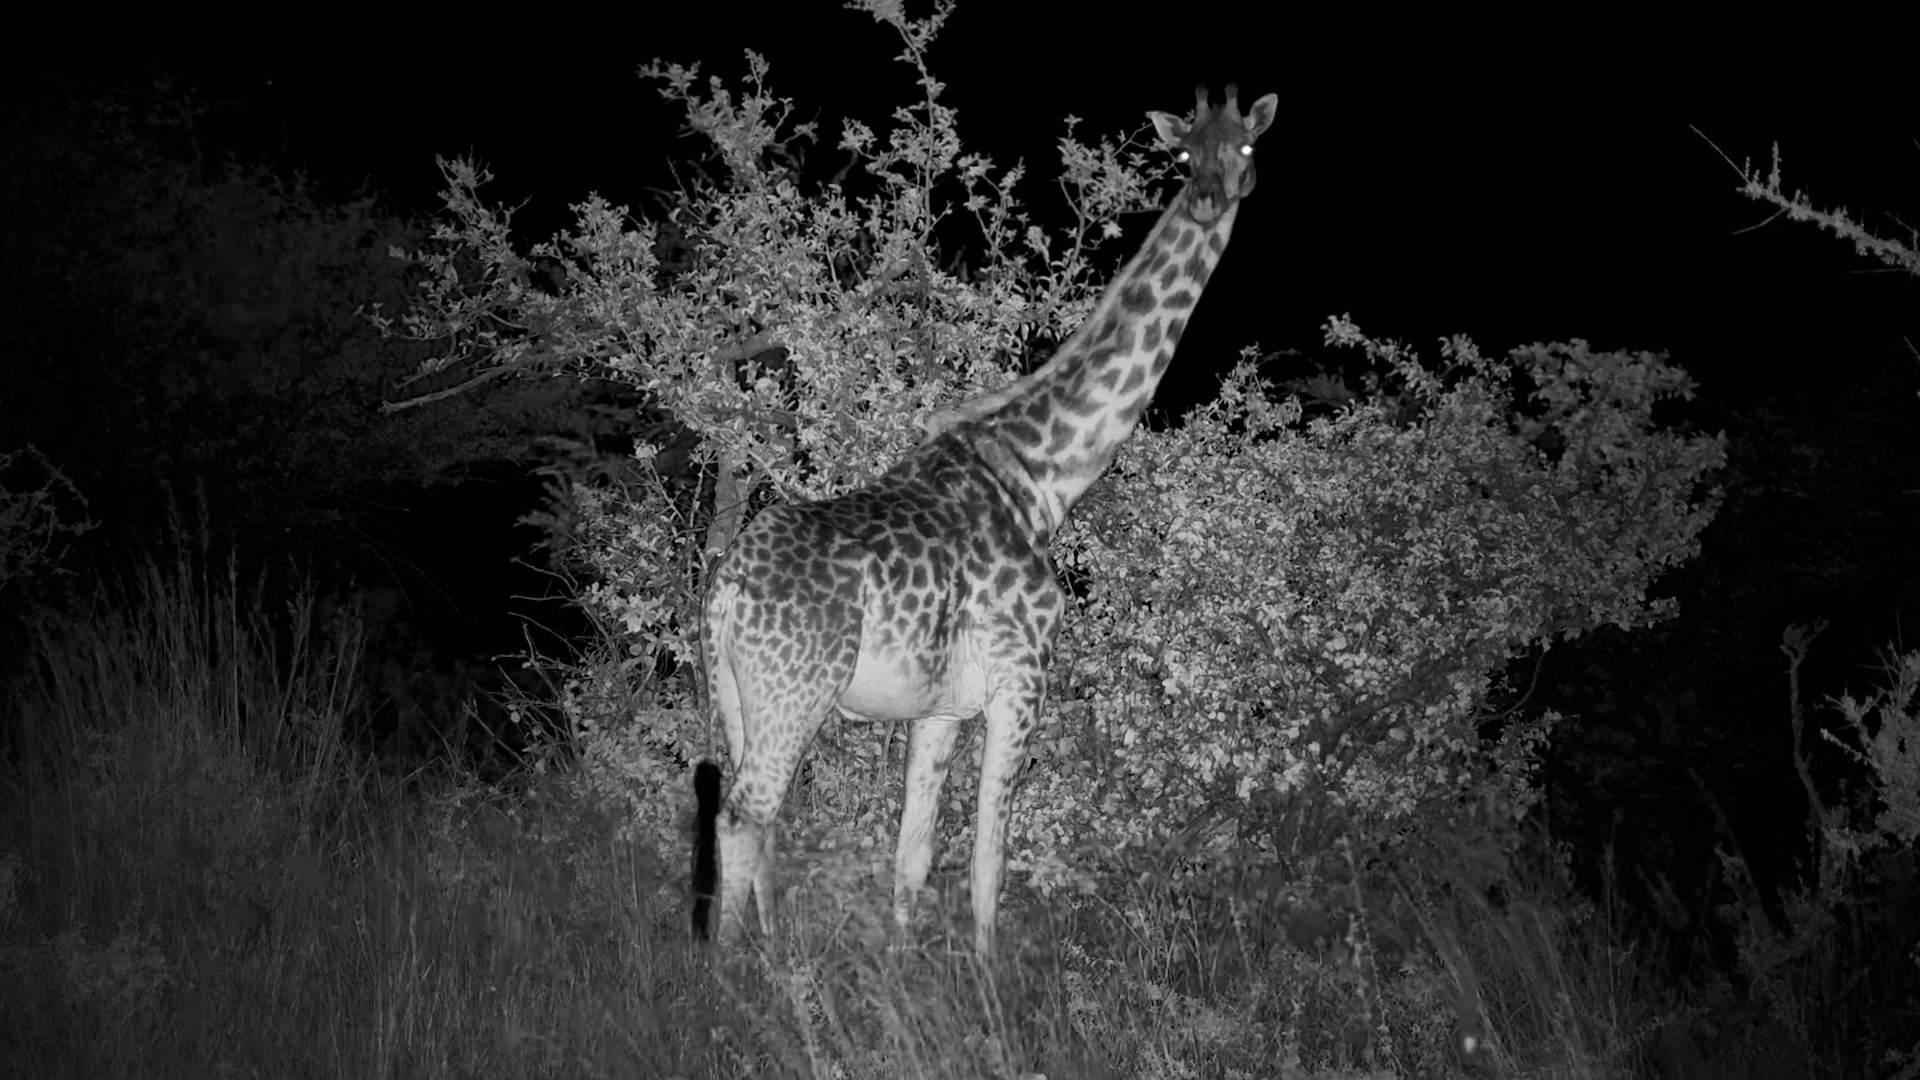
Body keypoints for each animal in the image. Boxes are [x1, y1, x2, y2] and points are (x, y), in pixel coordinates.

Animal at [696, 84, 1278, 953]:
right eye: (1181, 153)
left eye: (1241, 148)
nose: (1211, 196)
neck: (1041, 476)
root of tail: (728, 585)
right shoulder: (1022, 677)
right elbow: (988, 861)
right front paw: (989, 980)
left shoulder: (940, 707)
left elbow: (913, 856)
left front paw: (904, 969)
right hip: (794, 690)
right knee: (743, 815)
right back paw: (731, 971)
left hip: (735, 694)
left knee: (754, 819)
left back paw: (770, 955)